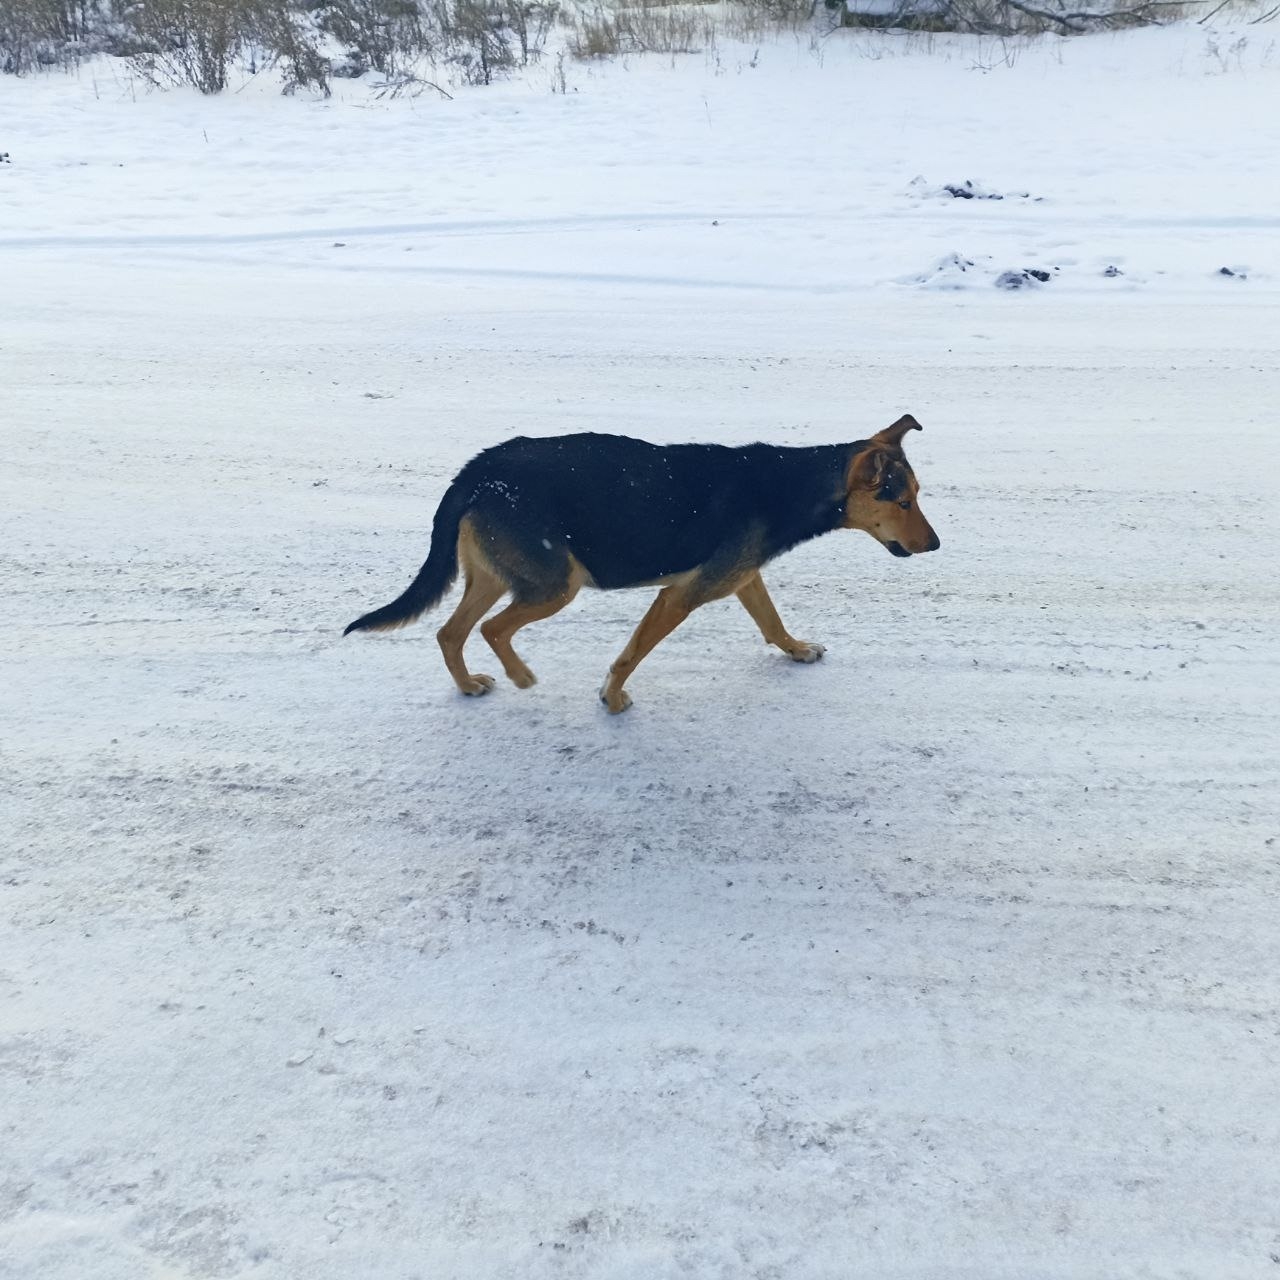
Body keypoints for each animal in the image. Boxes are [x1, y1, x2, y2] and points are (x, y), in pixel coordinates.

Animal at [344, 414, 940, 713]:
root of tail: (477, 468)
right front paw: (611, 698)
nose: (935, 545)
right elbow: (632, 653)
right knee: (492, 629)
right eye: (903, 502)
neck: (788, 486)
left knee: (450, 632)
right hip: (557, 582)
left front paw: (798, 651)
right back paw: (520, 676)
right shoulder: (681, 594)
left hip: (497, 575)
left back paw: (468, 686)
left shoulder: (741, 577)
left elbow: (772, 624)